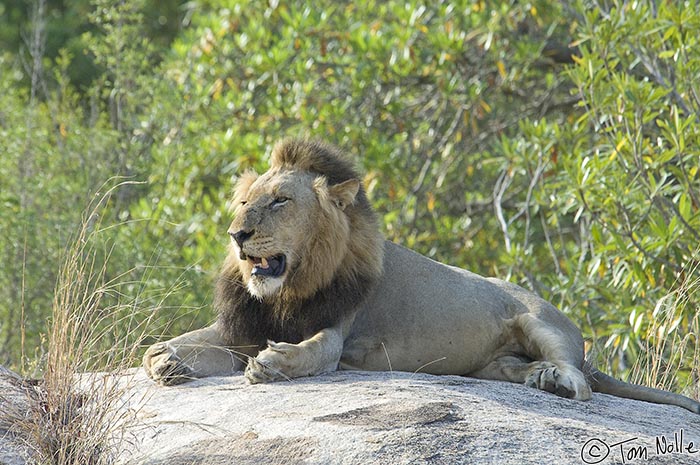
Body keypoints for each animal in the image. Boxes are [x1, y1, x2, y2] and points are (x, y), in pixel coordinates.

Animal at [144, 138, 700, 414]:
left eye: (280, 200)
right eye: (244, 202)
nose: (237, 234)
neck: (289, 290)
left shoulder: (338, 330)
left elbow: (313, 352)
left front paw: (274, 363)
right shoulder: (246, 325)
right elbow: (190, 345)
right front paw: (166, 356)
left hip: (542, 322)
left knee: (582, 383)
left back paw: (559, 382)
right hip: (489, 367)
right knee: (516, 370)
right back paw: (536, 377)